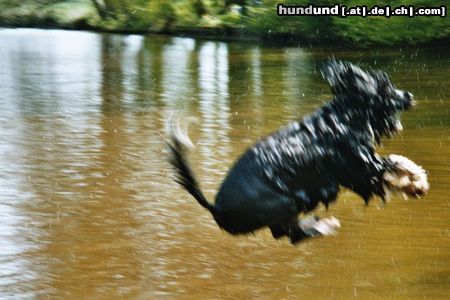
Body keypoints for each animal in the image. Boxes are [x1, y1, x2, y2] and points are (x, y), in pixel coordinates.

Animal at [167, 59, 428, 244]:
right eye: (387, 87)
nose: (410, 96)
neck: (344, 117)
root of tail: (215, 207)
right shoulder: (361, 166)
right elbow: (395, 165)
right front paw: (417, 182)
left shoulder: (359, 171)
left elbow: (395, 164)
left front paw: (415, 183)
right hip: (285, 203)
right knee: (290, 233)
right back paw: (322, 226)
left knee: (286, 234)